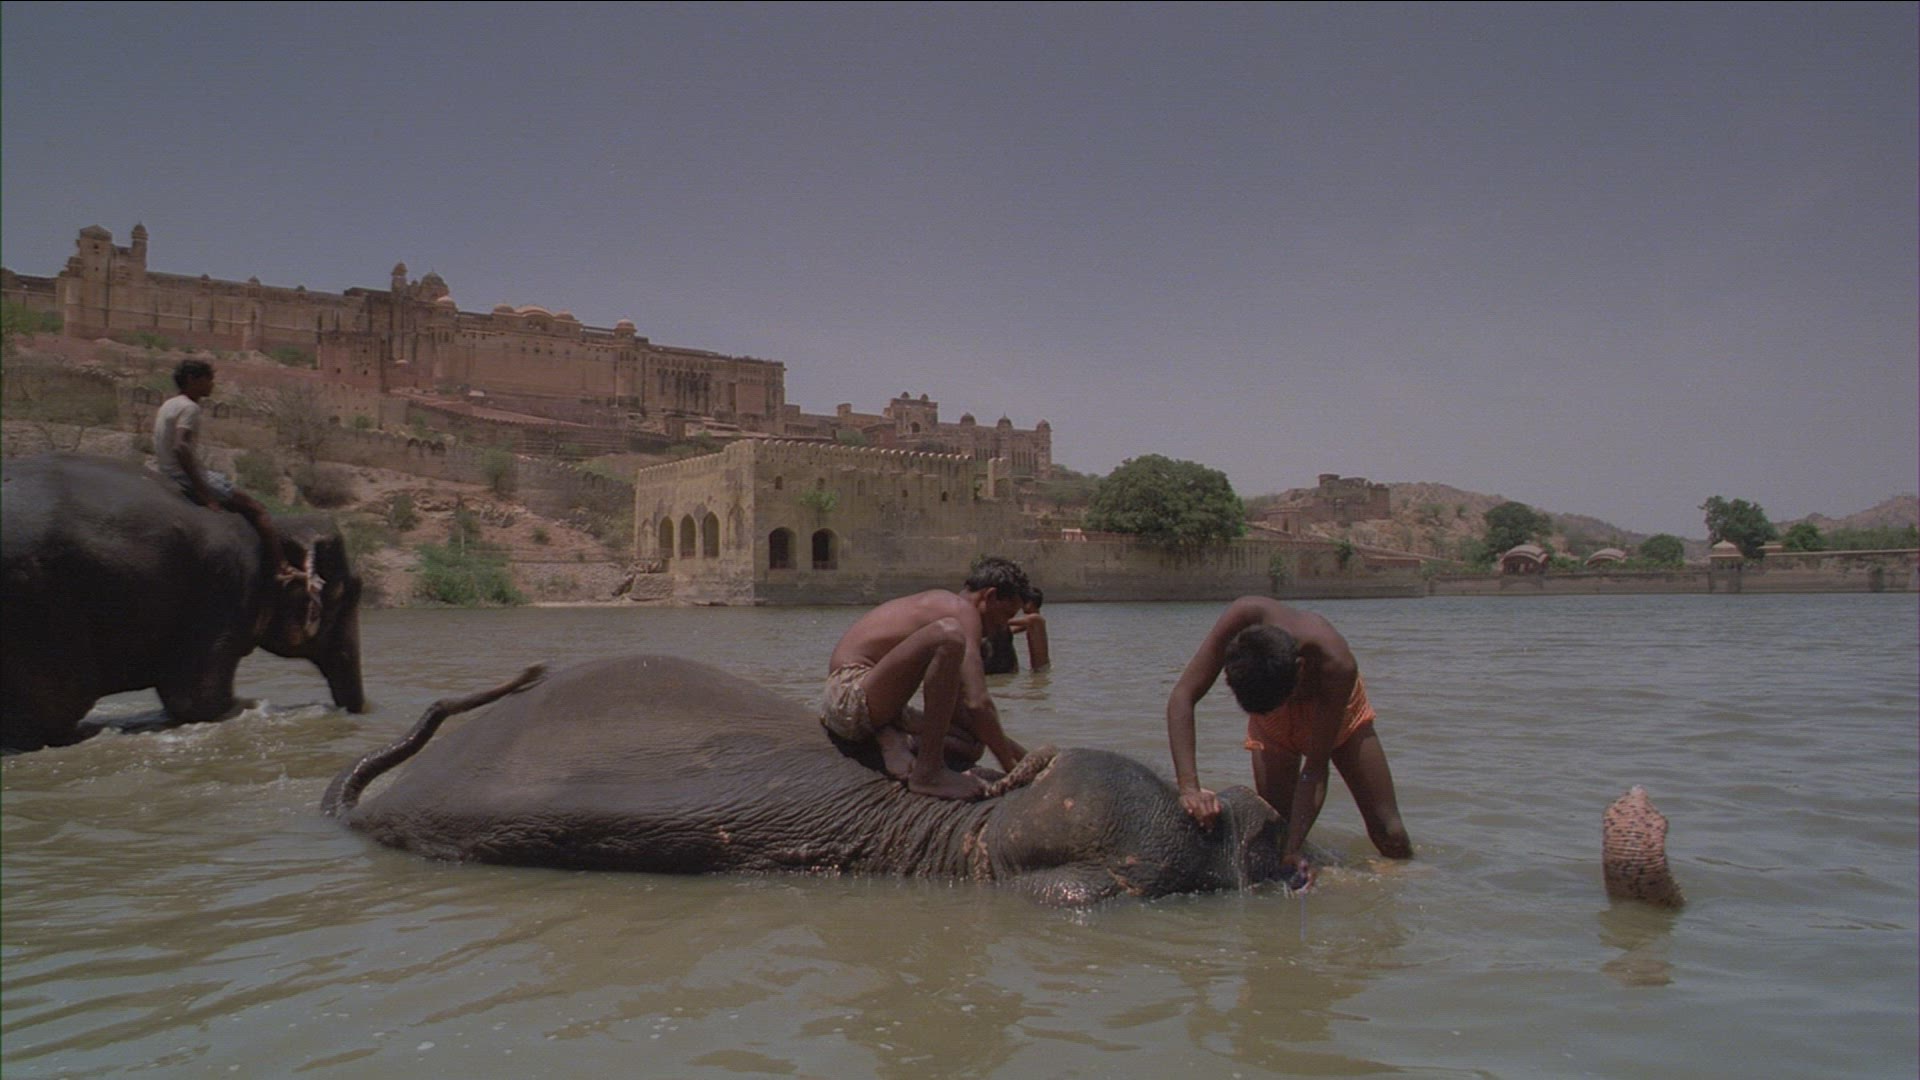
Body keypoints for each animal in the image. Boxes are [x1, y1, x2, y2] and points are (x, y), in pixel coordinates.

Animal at [1, 452, 366, 752]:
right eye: (343, 593)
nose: (352, 713)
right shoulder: (223, 592)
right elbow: (199, 700)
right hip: (39, 601)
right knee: (57, 707)